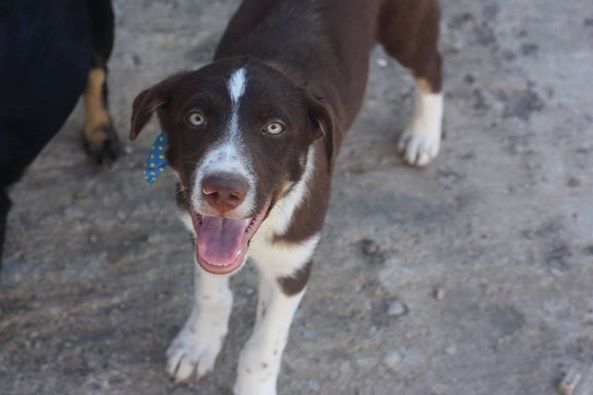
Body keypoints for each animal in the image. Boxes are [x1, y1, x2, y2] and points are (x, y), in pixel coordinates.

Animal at [132, 1, 442, 394]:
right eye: (196, 118)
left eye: (274, 128)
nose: (222, 191)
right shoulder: (197, 231)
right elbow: (211, 293)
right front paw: (197, 345)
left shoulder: (293, 265)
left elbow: (263, 347)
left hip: (406, 31)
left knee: (432, 69)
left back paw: (423, 135)